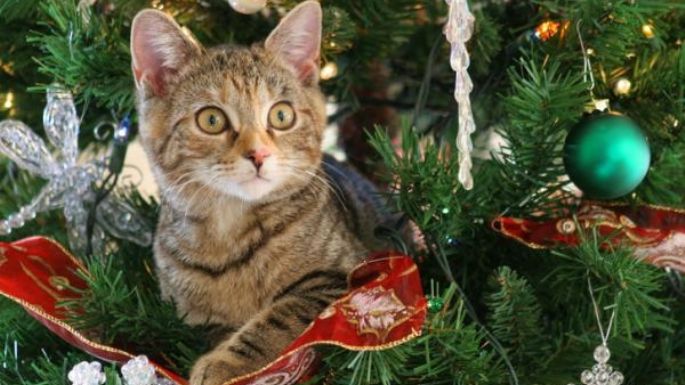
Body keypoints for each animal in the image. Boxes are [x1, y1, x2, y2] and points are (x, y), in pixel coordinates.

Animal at [131, 3, 392, 384]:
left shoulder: (345, 275)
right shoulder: (188, 315)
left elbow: (280, 316)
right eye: (211, 120)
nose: (259, 154)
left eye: (281, 115)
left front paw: (225, 363)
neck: (229, 232)